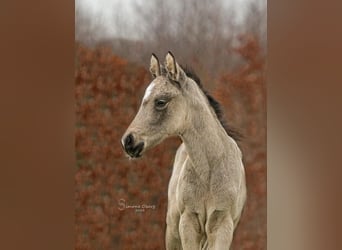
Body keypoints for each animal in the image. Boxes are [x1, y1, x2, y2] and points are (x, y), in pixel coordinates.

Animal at [121, 51, 246, 249]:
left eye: (160, 102)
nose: (128, 141)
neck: (210, 172)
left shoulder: (222, 224)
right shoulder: (188, 222)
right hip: (172, 231)